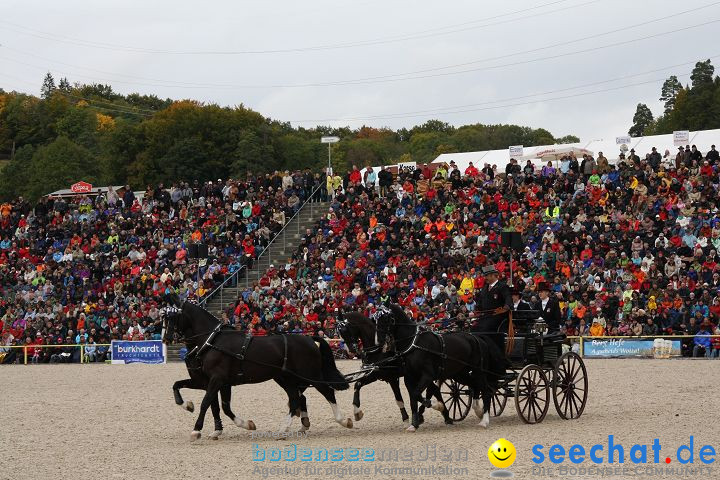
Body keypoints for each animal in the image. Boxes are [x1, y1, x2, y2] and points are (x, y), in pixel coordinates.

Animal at [164, 290, 354, 440]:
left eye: (173, 316)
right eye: (164, 316)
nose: (166, 338)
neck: (212, 341)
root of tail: (308, 338)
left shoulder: (217, 379)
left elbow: (207, 403)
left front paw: (196, 430)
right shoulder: (216, 382)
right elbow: (217, 405)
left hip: (310, 375)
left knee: (326, 392)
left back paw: (343, 420)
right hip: (286, 378)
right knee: (296, 399)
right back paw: (287, 429)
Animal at [374, 304, 510, 432]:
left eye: (386, 318)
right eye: (375, 319)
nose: (378, 342)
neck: (414, 344)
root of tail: (478, 338)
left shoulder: (428, 376)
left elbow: (418, 394)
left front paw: (437, 406)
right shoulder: (410, 377)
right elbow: (414, 397)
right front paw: (414, 424)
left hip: (479, 371)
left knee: (486, 392)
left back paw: (484, 421)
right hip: (461, 374)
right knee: (475, 387)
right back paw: (478, 411)